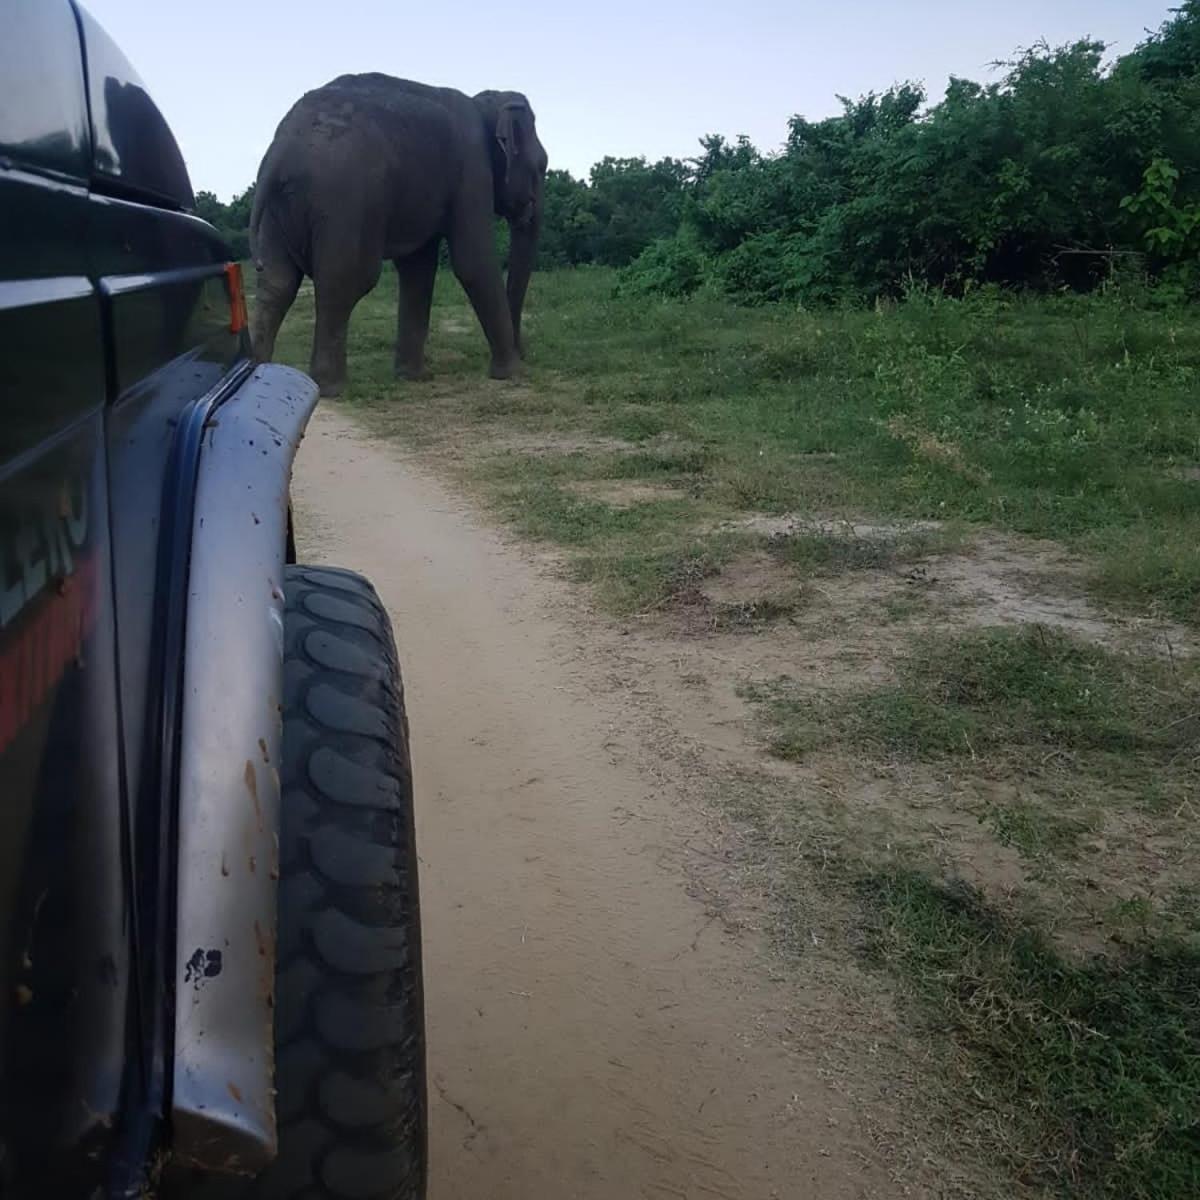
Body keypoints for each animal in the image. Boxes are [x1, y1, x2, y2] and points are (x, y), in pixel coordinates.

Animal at [248, 72, 549, 396]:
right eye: (542, 166)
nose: (525, 353)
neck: (483, 103)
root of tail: (280, 152)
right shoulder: (472, 167)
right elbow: (473, 262)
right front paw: (512, 374)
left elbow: (418, 269)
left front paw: (413, 377)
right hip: (345, 203)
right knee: (346, 281)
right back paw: (331, 388)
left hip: (277, 210)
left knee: (277, 283)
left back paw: (257, 376)